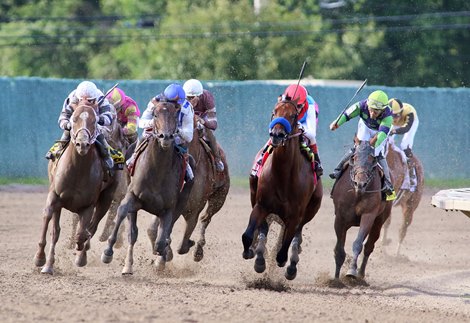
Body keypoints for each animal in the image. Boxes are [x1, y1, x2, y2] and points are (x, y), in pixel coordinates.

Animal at [34, 104, 119, 276]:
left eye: (94, 121)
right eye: (73, 119)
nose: (82, 144)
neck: (77, 170)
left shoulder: (88, 206)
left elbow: (83, 232)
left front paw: (80, 247)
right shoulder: (55, 197)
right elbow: (50, 223)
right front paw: (42, 260)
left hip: (106, 199)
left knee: (93, 227)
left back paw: (82, 257)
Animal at [101, 100, 191, 274]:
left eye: (175, 115)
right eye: (155, 114)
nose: (166, 137)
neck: (157, 171)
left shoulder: (168, 209)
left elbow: (161, 241)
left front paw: (163, 255)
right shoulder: (132, 196)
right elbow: (123, 212)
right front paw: (107, 251)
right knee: (132, 233)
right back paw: (128, 266)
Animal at [146, 114, 229, 264]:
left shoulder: (194, 208)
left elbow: (183, 244)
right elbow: (153, 230)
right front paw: (164, 254)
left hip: (220, 196)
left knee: (206, 218)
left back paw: (198, 251)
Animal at [242, 99, 324, 280]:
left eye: (293, 115)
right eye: (274, 112)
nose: (277, 135)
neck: (283, 176)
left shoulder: (294, 216)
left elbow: (284, 249)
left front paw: (286, 262)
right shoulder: (261, 205)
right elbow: (248, 235)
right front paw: (252, 252)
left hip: (311, 209)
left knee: (296, 236)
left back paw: (292, 263)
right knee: (264, 229)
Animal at [330, 140, 392, 282]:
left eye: (372, 159)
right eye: (354, 157)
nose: (360, 183)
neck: (357, 193)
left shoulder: (368, 215)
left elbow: (358, 243)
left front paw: (352, 271)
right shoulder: (340, 218)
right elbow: (339, 250)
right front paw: (335, 279)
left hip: (379, 222)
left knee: (369, 246)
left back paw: (361, 275)